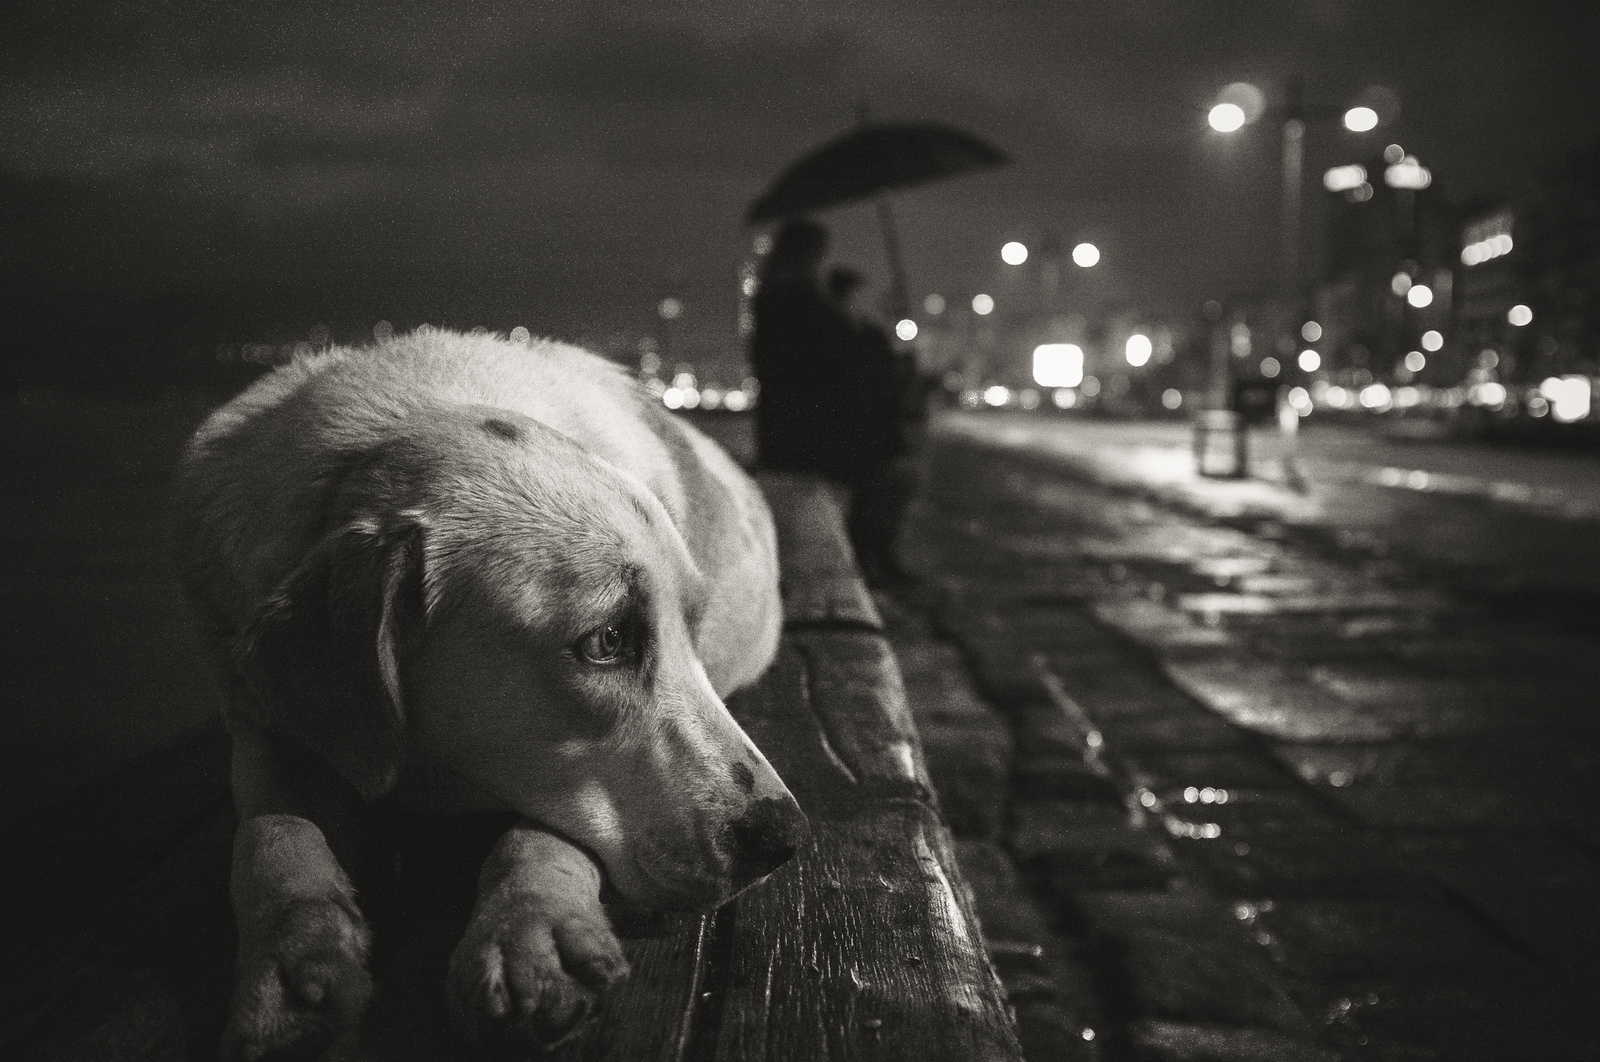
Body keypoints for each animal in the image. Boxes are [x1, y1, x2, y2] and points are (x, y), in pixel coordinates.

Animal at [172, 327, 812, 1055]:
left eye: (695, 626)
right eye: (607, 640)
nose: (785, 837)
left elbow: (538, 837)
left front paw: (530, 929)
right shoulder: (265, 727)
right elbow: (271, 836)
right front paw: (292, 960)